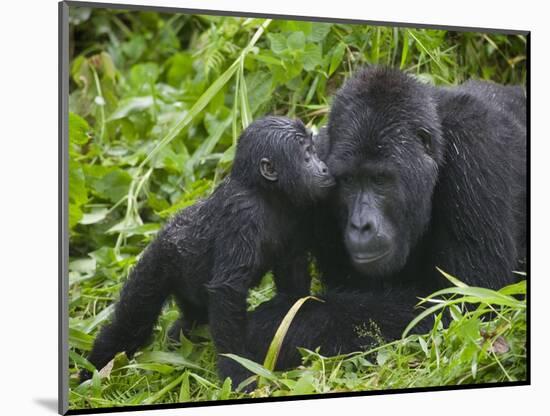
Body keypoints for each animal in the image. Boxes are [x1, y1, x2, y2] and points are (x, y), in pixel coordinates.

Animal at [80, 114, 334, 386]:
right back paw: (92, 372)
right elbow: (228, 291)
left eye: (314, 150)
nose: (324, 168)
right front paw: (237, 371)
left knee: (192, 318)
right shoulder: (242, 214)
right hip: (157, 262)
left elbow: (292, 277)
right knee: (131, 323)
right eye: (307, 155)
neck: (264, 192)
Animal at [248, 66, 528, 368]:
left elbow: (468, 303)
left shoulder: (476, 149)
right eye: (348, 180)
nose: (361, 225)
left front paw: (276, 324)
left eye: (380, 179)